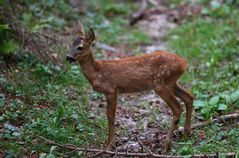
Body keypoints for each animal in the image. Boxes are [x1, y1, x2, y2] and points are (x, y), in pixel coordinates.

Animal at [66, 20, 194, 152]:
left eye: (80, 47)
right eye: (70, 44)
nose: (68, 57)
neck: (97, 72)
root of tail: (184, 64)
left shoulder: (111, 90)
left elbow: (110, 117)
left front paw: (110, 146)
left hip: (161, 84)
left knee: (177, 108)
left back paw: (166, 145)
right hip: (171, 83)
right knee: (189, 97)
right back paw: (186, 135)